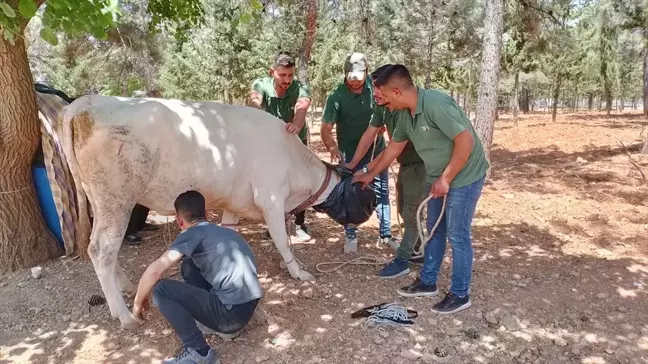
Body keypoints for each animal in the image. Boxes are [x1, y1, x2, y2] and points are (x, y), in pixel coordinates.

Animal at [59, 95, 360, 328]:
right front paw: (298, 272)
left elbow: (230, 237)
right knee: (102, 249)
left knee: (108, 249)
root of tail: (88, 101)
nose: (362, 218)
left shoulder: (233, 205)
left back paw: (127, 287)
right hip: (116, 198)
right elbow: (282, 241)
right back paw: (124, 315)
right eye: (359, 191)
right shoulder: (271, 197)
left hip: (100, 200)